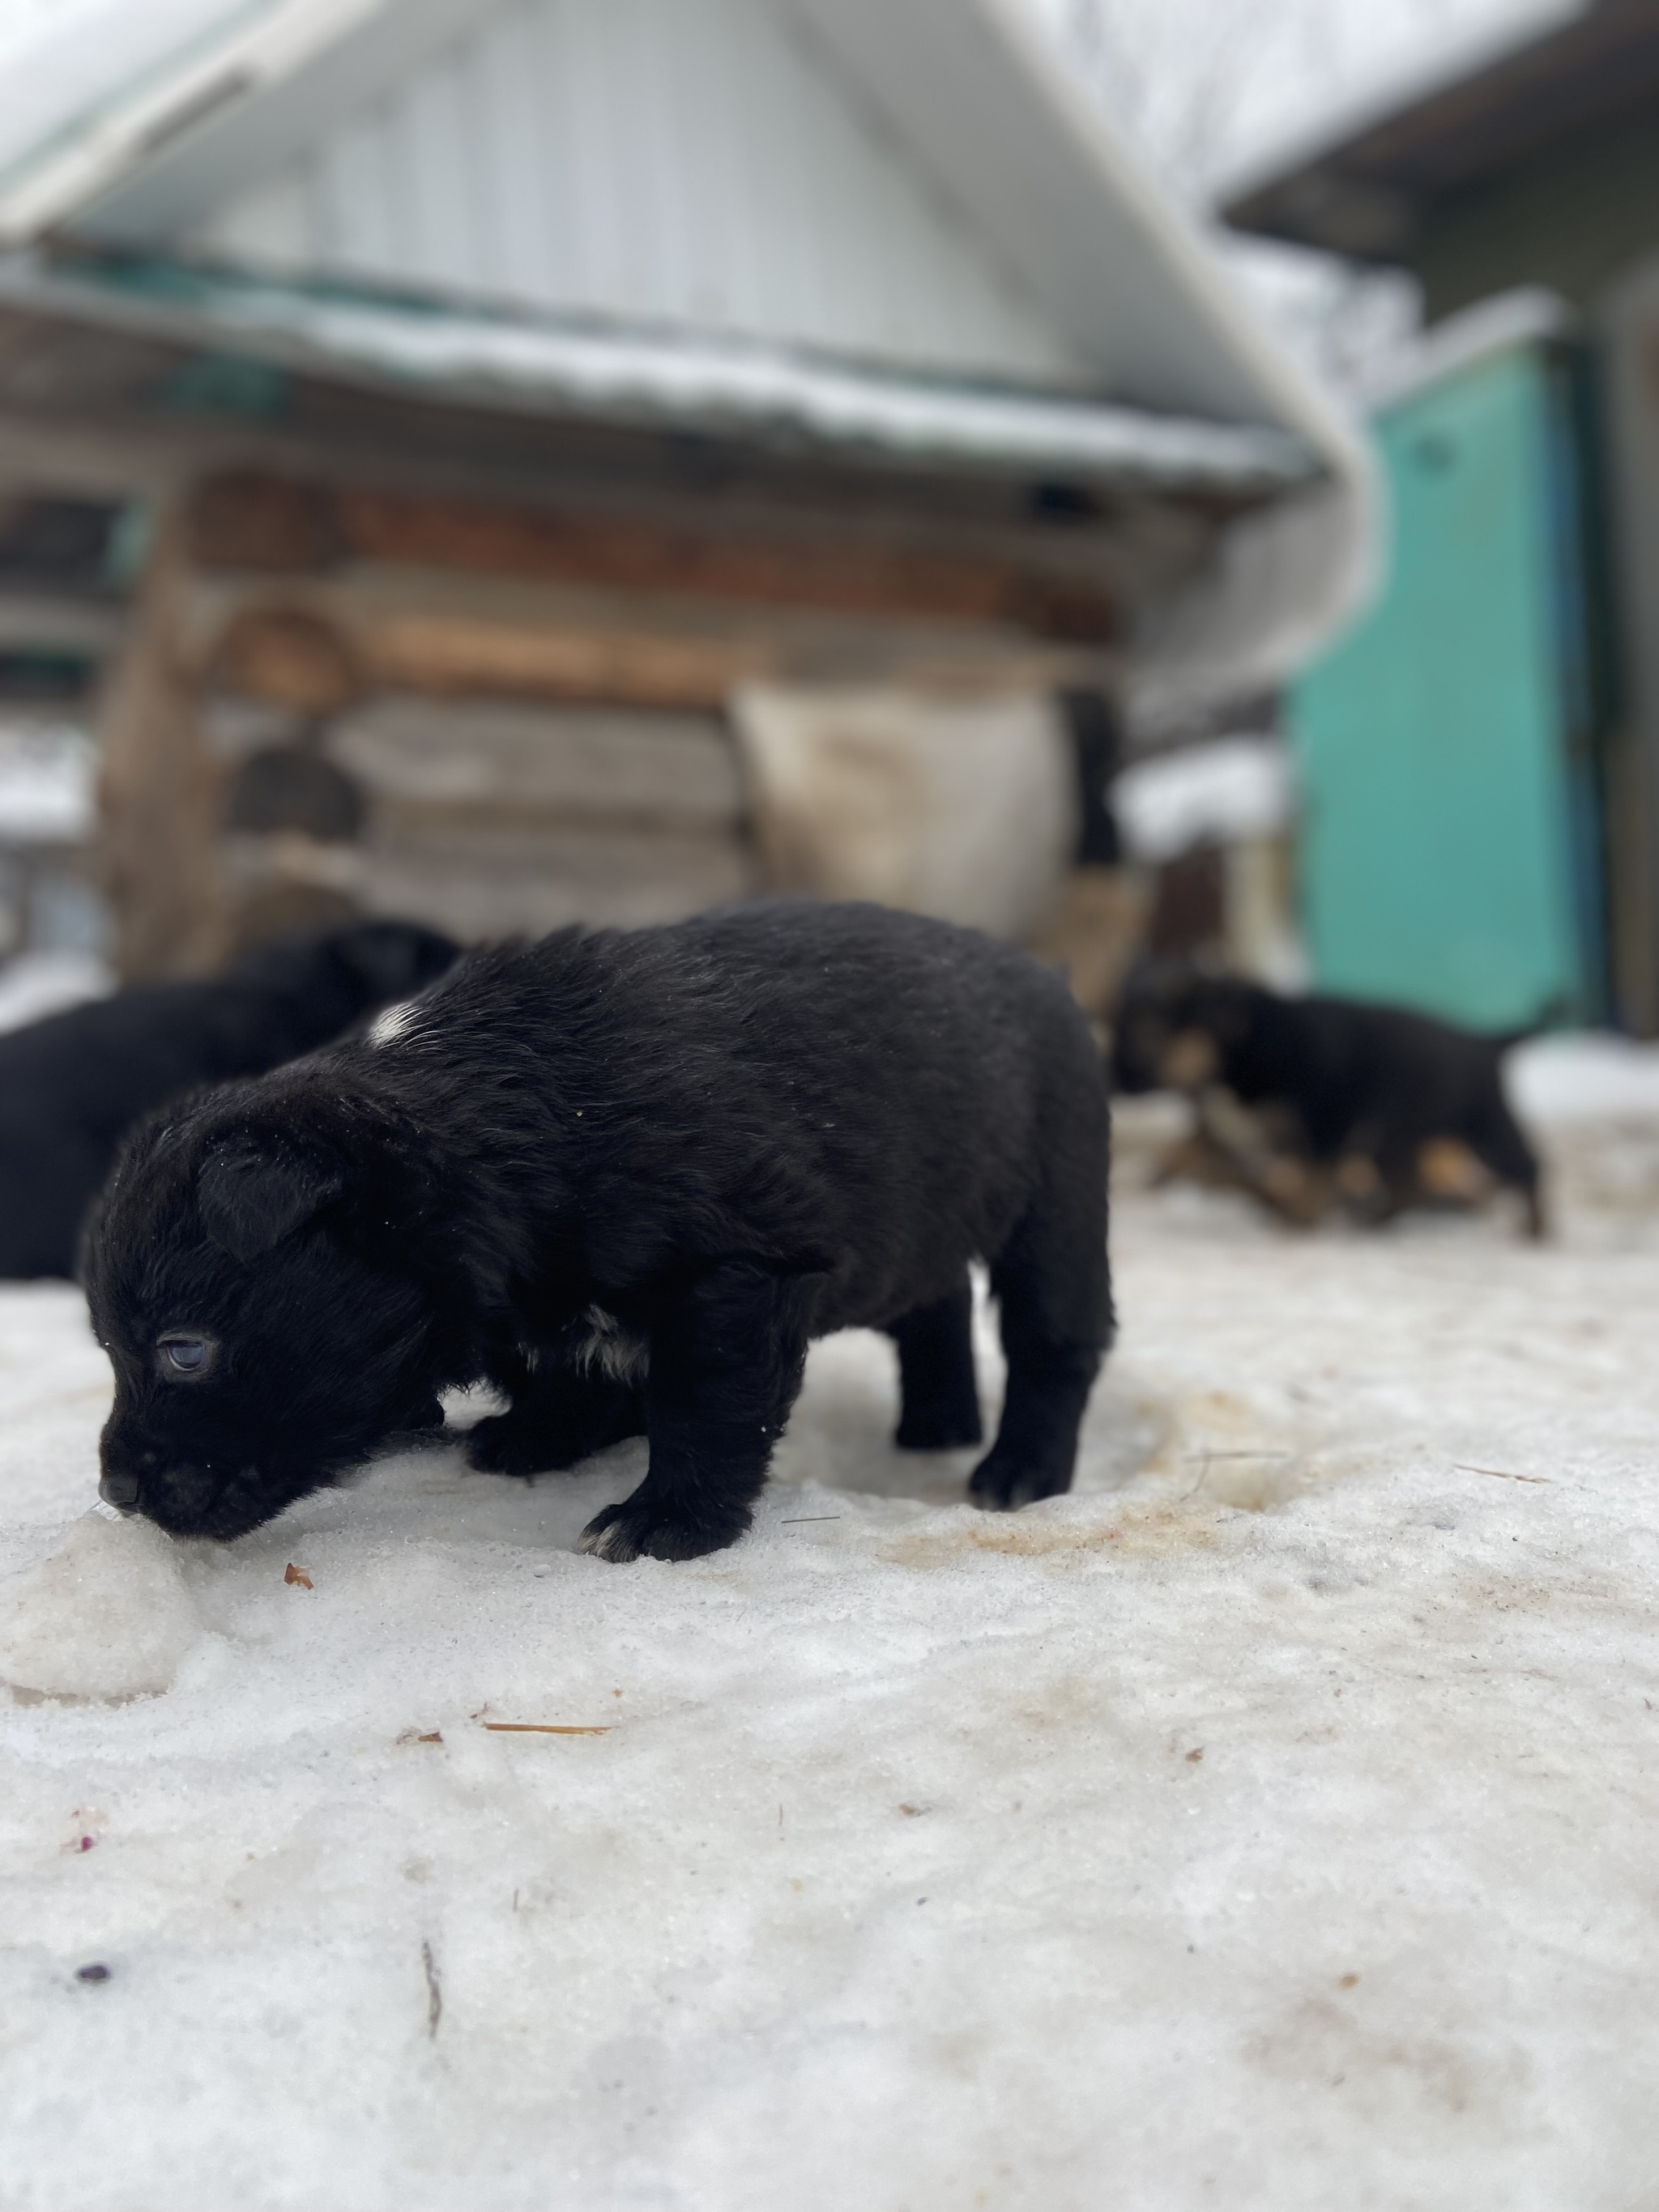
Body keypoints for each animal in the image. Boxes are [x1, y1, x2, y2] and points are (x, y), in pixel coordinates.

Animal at [81, 893, 1119, 1557]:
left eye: (183, 1351)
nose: (115, 1492)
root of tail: (1042, 971)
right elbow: (577, 1368)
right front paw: (537, 1437)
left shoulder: (737, 1269)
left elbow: (704, 1402)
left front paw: (670, 1521)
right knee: (931, 1308)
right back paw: (936, 1424)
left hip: (1057, 1197)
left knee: (1054, 1340)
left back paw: (1016, 1469)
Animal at [1110, 964, 1557, 1247]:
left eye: (1142, 1031)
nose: (1111, 1080)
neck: (1248, 1040)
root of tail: (1487, 1042)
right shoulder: (1283, 1135)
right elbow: (1289, 1176)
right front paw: (1291, 1212)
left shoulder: (1327, 1123)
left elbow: (1313, 1177)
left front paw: (1296, 1221)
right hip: (1395, 1141)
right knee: (1407, 1187)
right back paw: (1374, 1222)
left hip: (1484, 1131)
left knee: (1529, 1168)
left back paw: (1538, 1231)